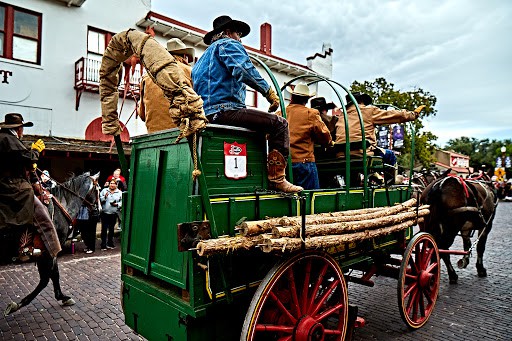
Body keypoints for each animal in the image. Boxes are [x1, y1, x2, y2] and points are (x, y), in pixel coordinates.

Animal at [3, 171, 100, 314]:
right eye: (98, 189)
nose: (98, 212)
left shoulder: (49, 252)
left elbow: (53, 275)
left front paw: (62, 297)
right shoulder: (49, 251)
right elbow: (47, 278)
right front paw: (20, 303)